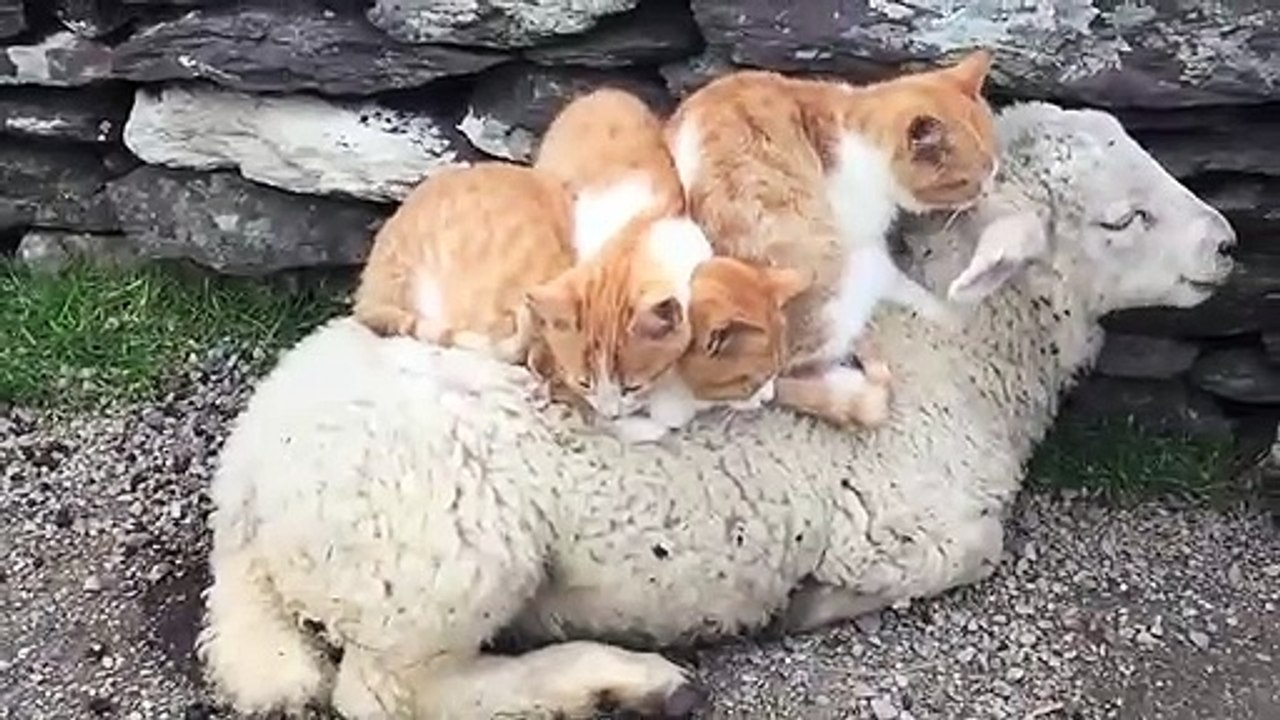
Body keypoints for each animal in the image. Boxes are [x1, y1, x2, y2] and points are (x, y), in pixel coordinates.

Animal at [198, 101, 1237, 720]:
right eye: (1121, 220)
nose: (1229, 244)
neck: (957, 352)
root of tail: (246, 476)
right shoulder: (909, 520)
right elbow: (968, 552)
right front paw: (811, 605)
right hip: (440, 560)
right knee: (393, 694)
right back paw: (618, 682)